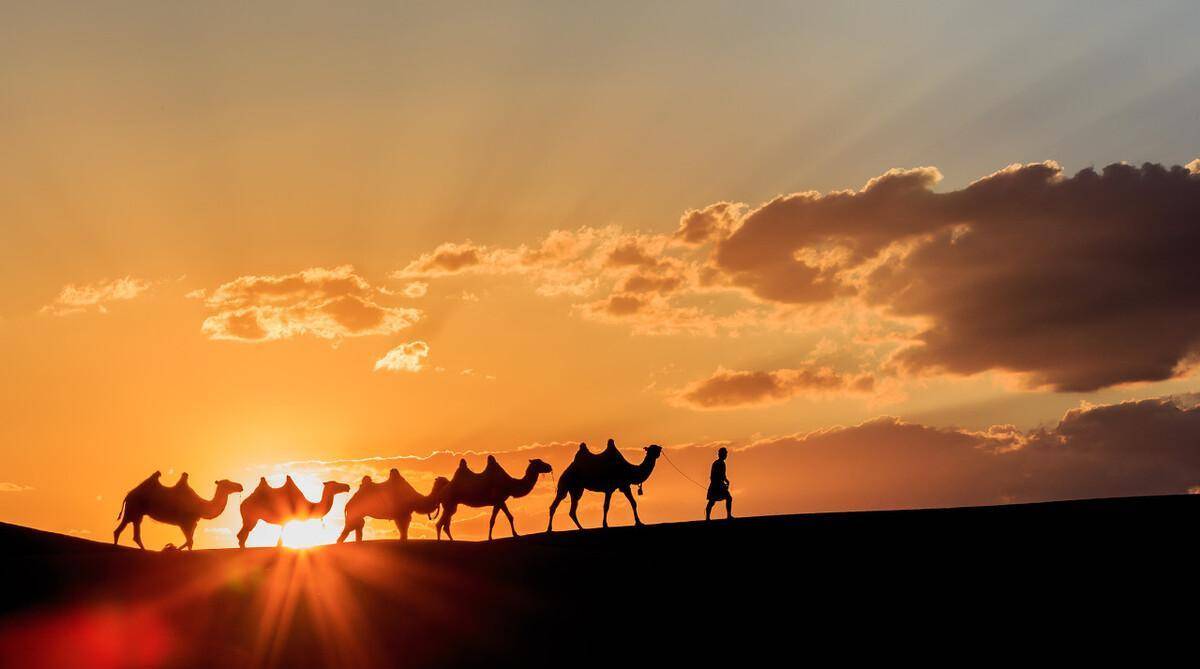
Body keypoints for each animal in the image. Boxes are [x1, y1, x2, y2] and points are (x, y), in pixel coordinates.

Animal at [113, 472, 242, 551]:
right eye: (227, 483)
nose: (240, 486)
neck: (200, 506)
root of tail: (128, 495)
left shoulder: (192, 523)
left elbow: (190, 541)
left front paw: (173, 548)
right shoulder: (184, 523)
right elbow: (190, 541)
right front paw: (172, 548)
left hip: (135, 513)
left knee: (123, 531)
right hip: (134, 510)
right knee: (126, 532)